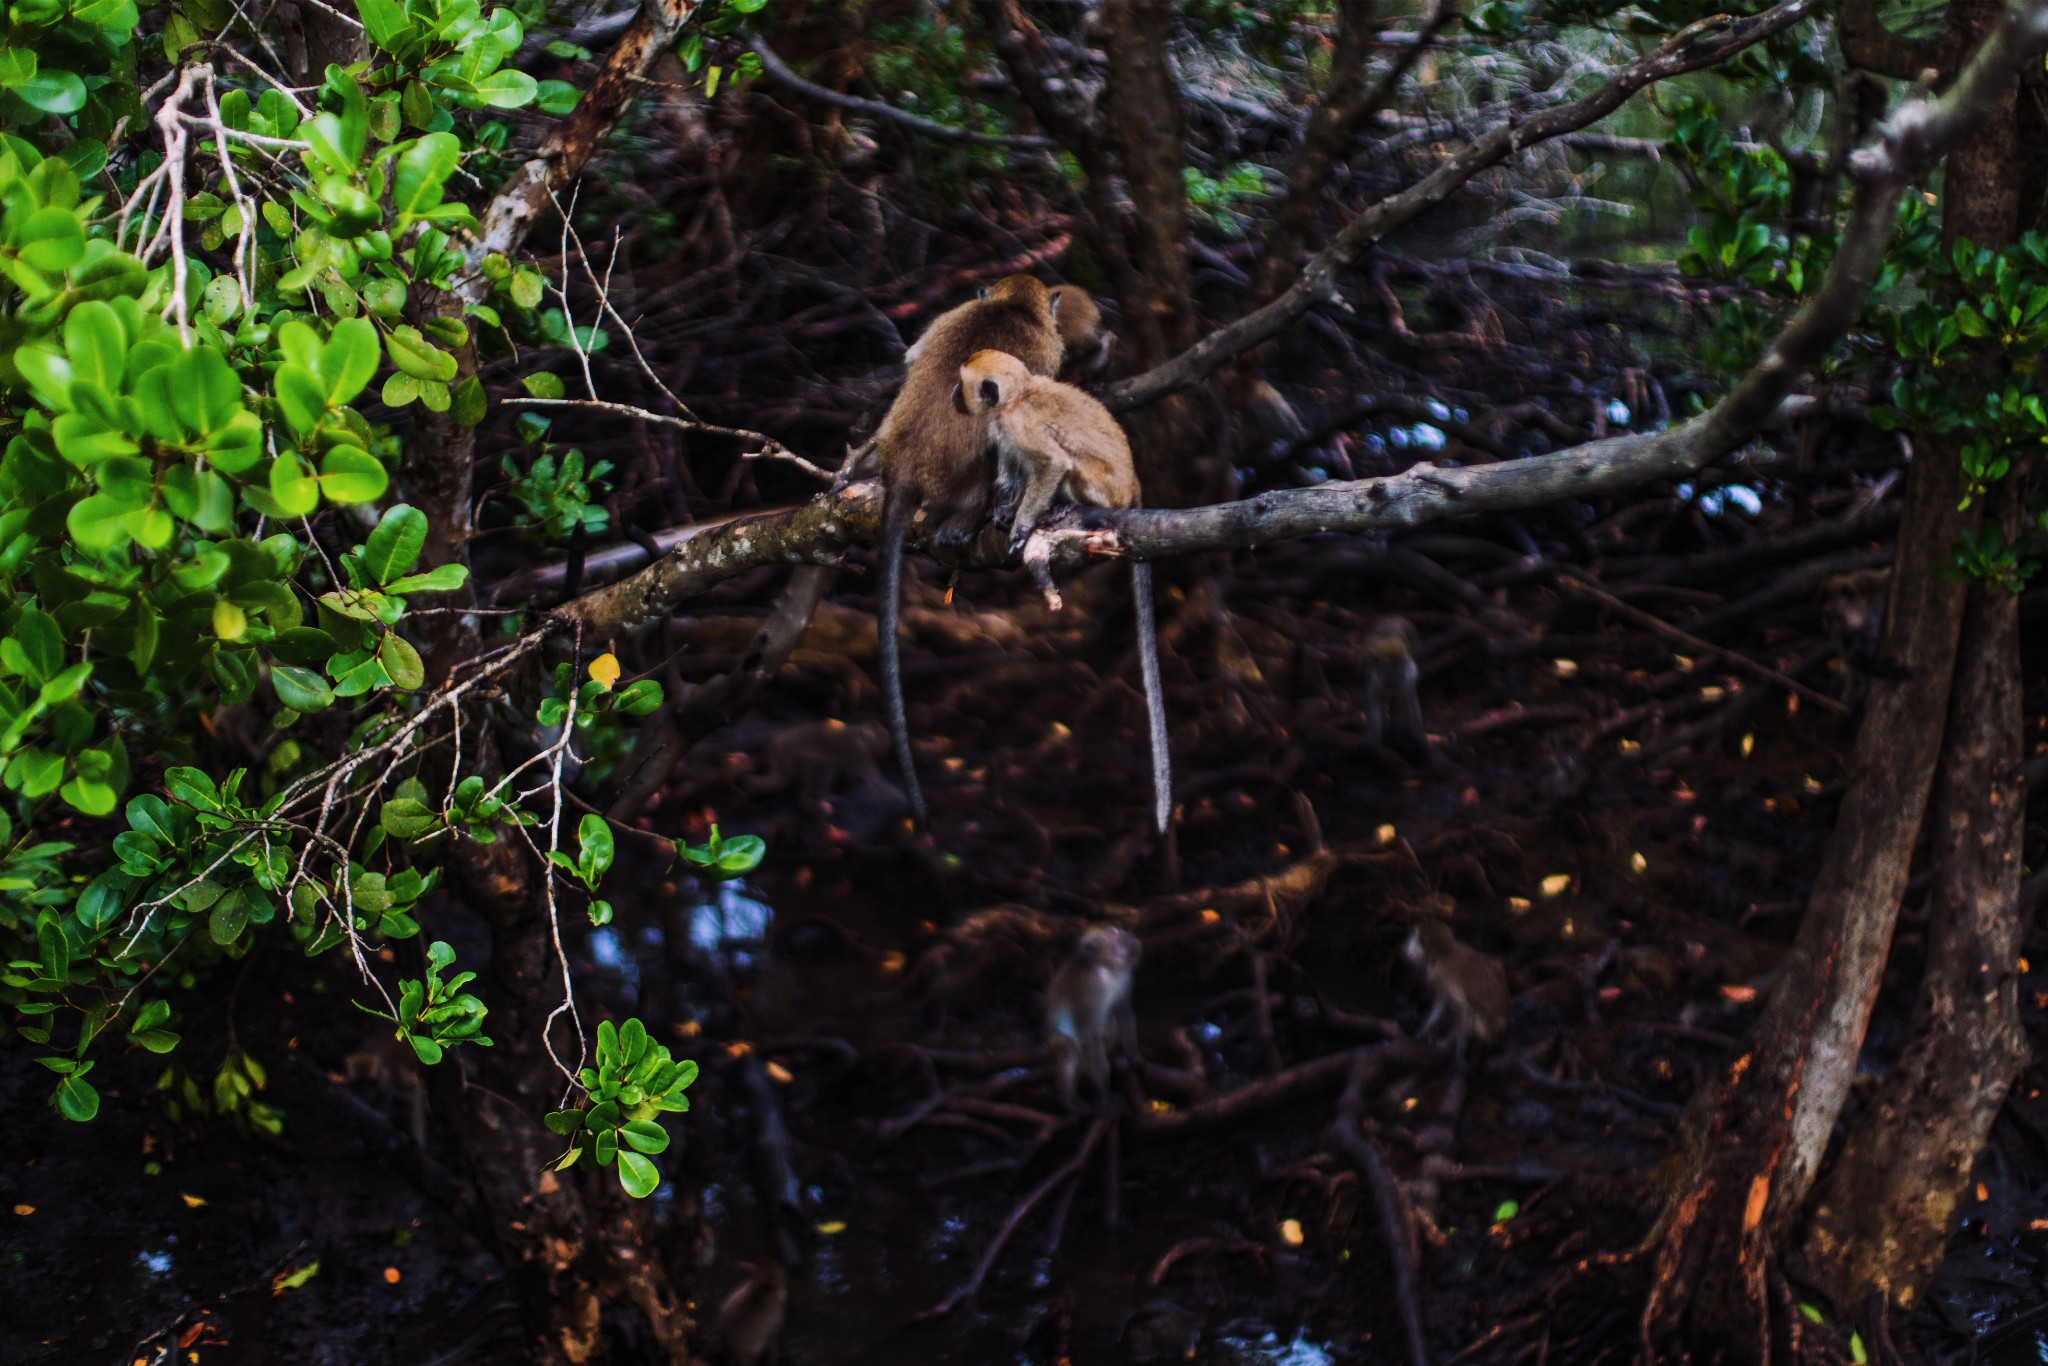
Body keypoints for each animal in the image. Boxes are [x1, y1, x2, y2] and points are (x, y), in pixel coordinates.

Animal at [954, 350, 1179, 835]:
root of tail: (1133, 484)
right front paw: (1003, 511)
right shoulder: (1003, 429)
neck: (1018, 396)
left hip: (1104, 485)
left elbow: (1050, 465)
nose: (951, 396)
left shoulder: (1019, 425)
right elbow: (1012, 472)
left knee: (1072, 467)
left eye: (961, 384)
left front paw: (1021, 525)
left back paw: (1071, 508)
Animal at [1048, 925, 1146, 1114]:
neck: (1109, 970)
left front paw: (1132, 1055)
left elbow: (1123, 1012)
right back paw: (1068, 1100)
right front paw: (1105, 1096)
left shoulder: (1124, 978)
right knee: (1068, 1045)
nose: (1133, 939)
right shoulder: (1092, 986)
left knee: (1110, 1018)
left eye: (1117, 931)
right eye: (1112, 933)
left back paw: (1117, 1057)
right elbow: (1090, 1034)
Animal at [1368, 618, 1433, 770]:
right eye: (1389, 672)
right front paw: (1375, 740)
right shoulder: (1376, 680)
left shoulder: (1406, 679)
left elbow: (1406, 703)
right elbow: (1373, 703)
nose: (1392, 681)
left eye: (1398, 671)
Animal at [1400, 917, 1515, 1064]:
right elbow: (1441, 1005)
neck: (1442, 949)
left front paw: (1457, 1051)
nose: (1405, 949)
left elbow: (1463, 1010)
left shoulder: (1440, 975)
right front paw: (1421, 1034)